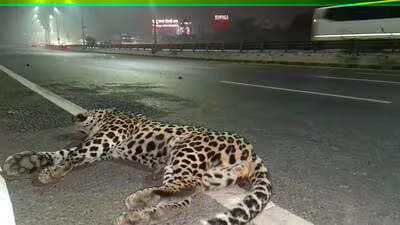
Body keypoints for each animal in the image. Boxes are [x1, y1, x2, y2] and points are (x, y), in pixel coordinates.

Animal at [2, 109, 272, 225]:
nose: (72, 120)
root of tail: (252, 150)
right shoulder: (103, 147)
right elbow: (61, 153)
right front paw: (25, 162)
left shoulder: (107, 136)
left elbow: (77, 153)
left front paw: (53, 173)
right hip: (212, 175)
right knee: (187, 193)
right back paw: (145, 214)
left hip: (186, 151)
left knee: (185, 185)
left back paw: (140, 201)